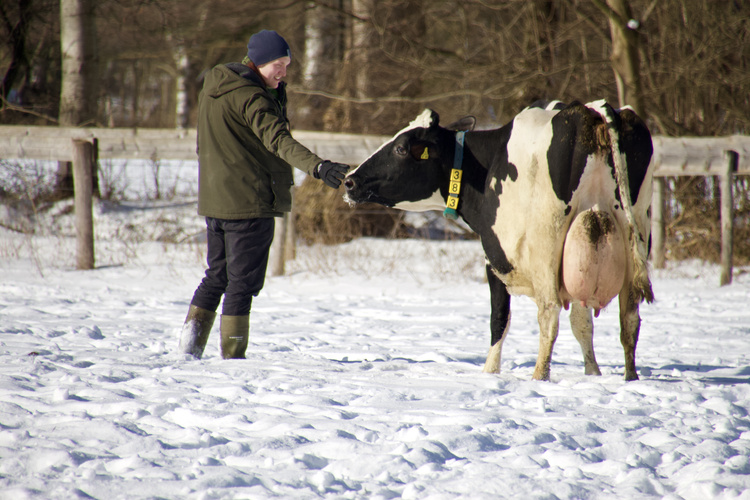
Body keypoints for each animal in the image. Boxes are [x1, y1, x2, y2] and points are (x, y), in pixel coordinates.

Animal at [344, 100, 654, 381]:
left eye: (400, 148)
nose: (349, 180)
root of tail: (594, 109)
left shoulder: (493, 260)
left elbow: (499, 319)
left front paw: (489, 372)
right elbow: (582, 323)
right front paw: (593, 373)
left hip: (547, 248)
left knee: (549, 314)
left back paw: (539, 376)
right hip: (630, 234)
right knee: (629, 317)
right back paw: (630, 378)